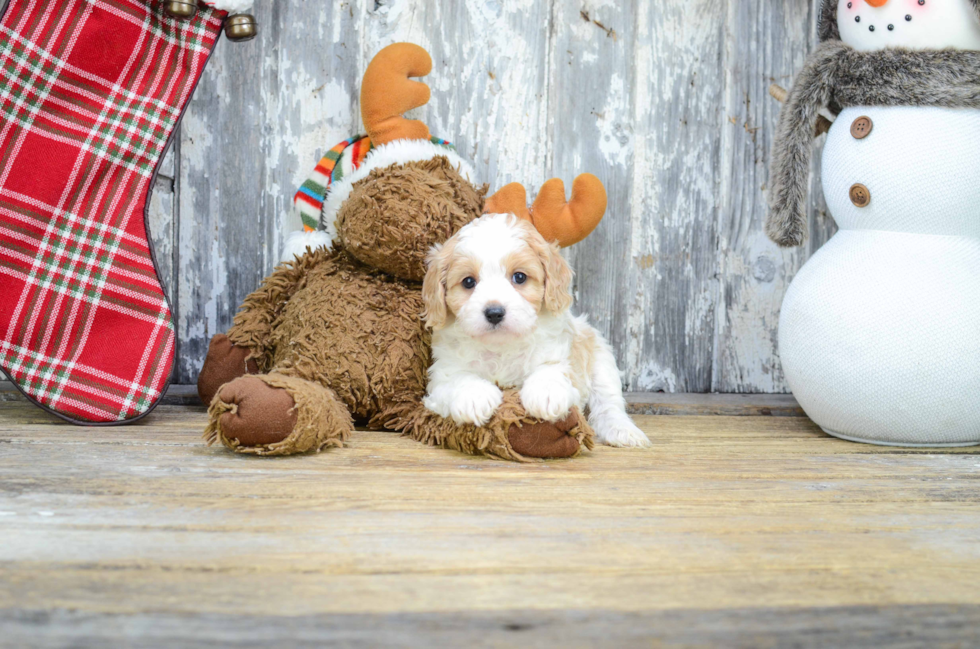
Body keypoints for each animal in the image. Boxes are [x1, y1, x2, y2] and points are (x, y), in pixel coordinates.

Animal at [422, 213, 652, 446]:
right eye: (468, 282)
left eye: (519, 277)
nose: (494, 312)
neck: (502, 346)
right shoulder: (441, 374)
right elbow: (458, 378)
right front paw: (474, 396)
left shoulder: (562, 359)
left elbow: (550, 369)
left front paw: (547, 393)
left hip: (600, 357)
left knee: (609, 404)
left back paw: (622, 430)